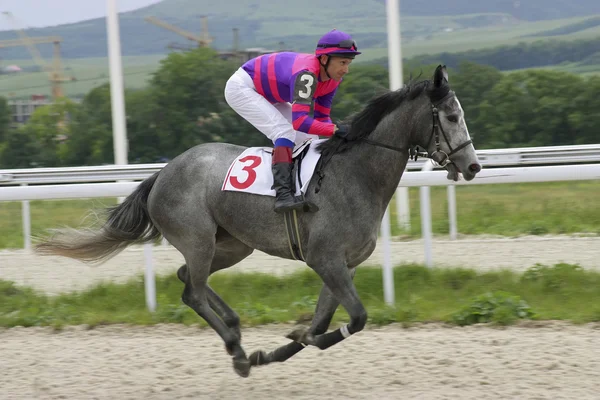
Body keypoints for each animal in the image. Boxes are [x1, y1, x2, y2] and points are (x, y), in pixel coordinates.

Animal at [35, 65, 480, 378]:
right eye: (451, 116)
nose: (473, 166)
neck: (356, 175)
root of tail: (162, 173)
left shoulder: (343, 265)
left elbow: (321, 324)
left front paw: (281, 346)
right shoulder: (326, 260)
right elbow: (355, 319)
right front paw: (284, 342)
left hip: (233, 245)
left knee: (187, 279)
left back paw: (236, 331)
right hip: (199, 239)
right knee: (193, 290)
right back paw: (235, 348)